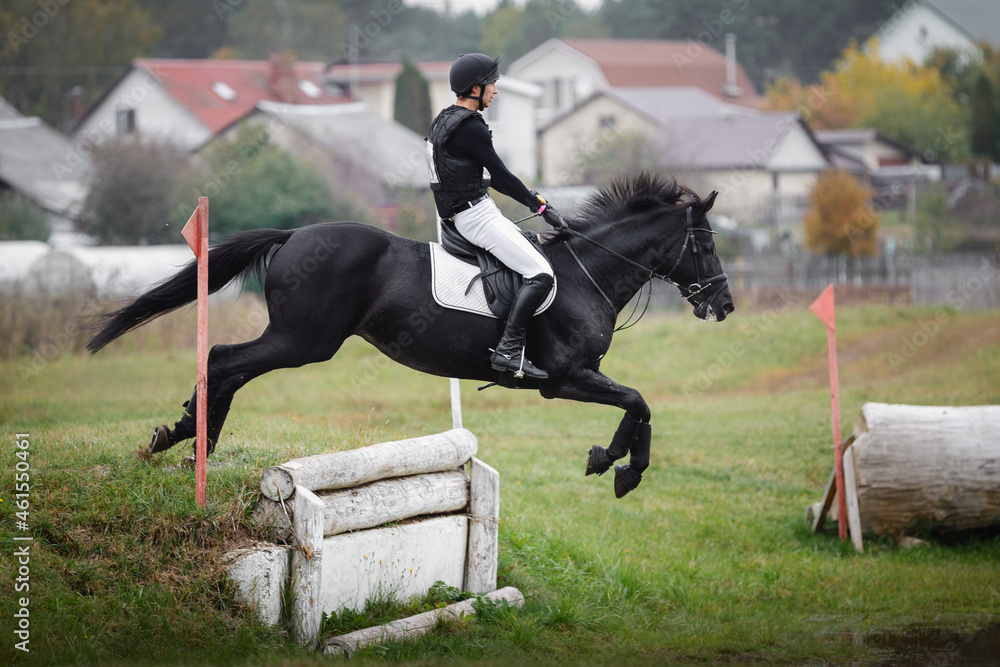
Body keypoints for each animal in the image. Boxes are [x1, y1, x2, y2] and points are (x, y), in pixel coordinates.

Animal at [88, 175, 736, 498]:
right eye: (705, 244)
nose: (725, 305)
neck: (585, 273)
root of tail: (296, 234)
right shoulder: (566, 378)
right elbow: (639, 403)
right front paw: (618, 465)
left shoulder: (577, 379)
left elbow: (640, 406)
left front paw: (615, 462)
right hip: (304, 341)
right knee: (225, 358)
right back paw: (188, 438)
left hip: (299, 341)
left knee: (230, 367)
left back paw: (186, 437)